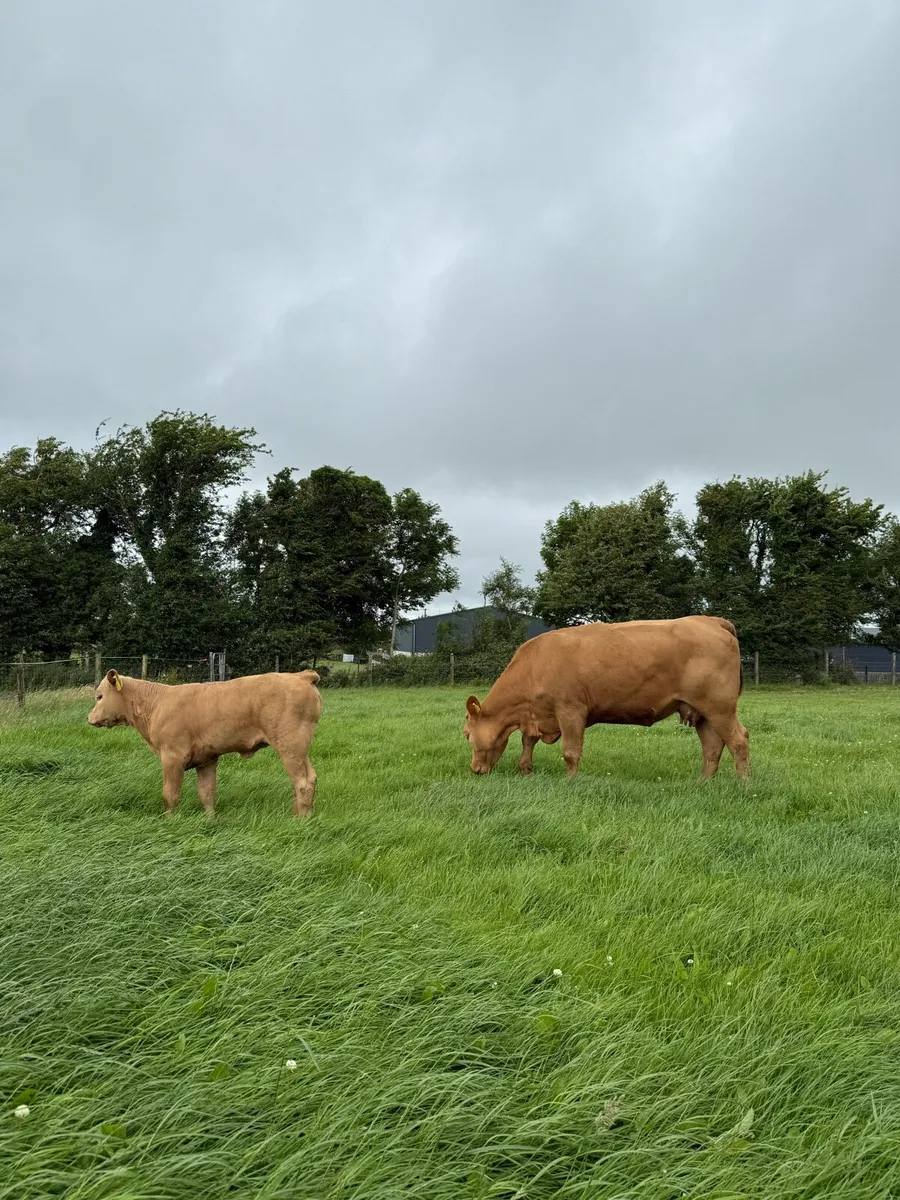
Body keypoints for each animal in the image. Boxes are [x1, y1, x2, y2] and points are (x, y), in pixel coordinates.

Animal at [88, 668, 322, 817]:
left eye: (100, 696)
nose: (89, 718)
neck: (156, 703)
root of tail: (301, 676)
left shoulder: (172, 757)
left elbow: (170, 794)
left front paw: (168, 821)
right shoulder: (206, 759)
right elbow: (207, 793)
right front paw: (211, 820)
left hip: (290, 746)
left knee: (302, 783)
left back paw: (301, 820)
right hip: (300, 750)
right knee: (309, 778)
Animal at [463, 615, 749, 780]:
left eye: (466, 734)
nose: (474, 770)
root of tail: (710, 620)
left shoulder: (570, 711)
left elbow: (571, 751)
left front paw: (571, 780)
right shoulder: (536, 715)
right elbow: (527, 742)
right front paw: (525, 770)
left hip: (720, 708)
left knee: (738, 740)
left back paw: (743, 783)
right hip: (701, 712)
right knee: (712, 747)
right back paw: (704, 783)